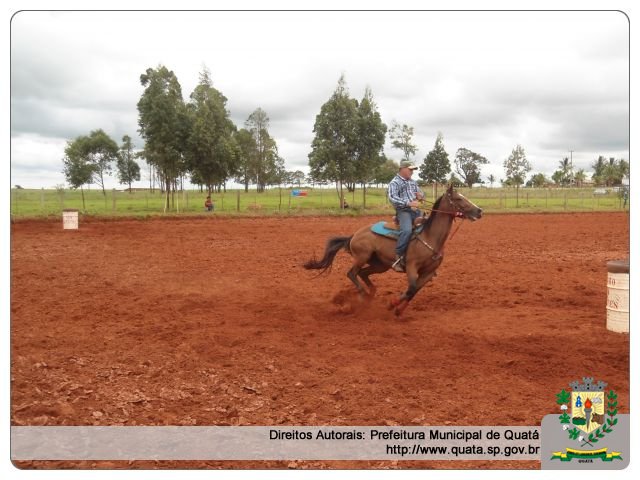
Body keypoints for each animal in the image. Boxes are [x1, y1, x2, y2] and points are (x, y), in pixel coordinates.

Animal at [302, 186, 482, 316]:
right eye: (458, 198)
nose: (479, 211)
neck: (430, 237)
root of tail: (354, 234)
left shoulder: (429, 272)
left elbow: (414, 291)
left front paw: (398, 309)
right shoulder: (411, 267)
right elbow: (411, 287)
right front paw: (392, 304)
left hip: (380, 265)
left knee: (363, 273)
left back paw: (371, 293)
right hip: (362, 256)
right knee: (352, 273)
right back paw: (363, 294)